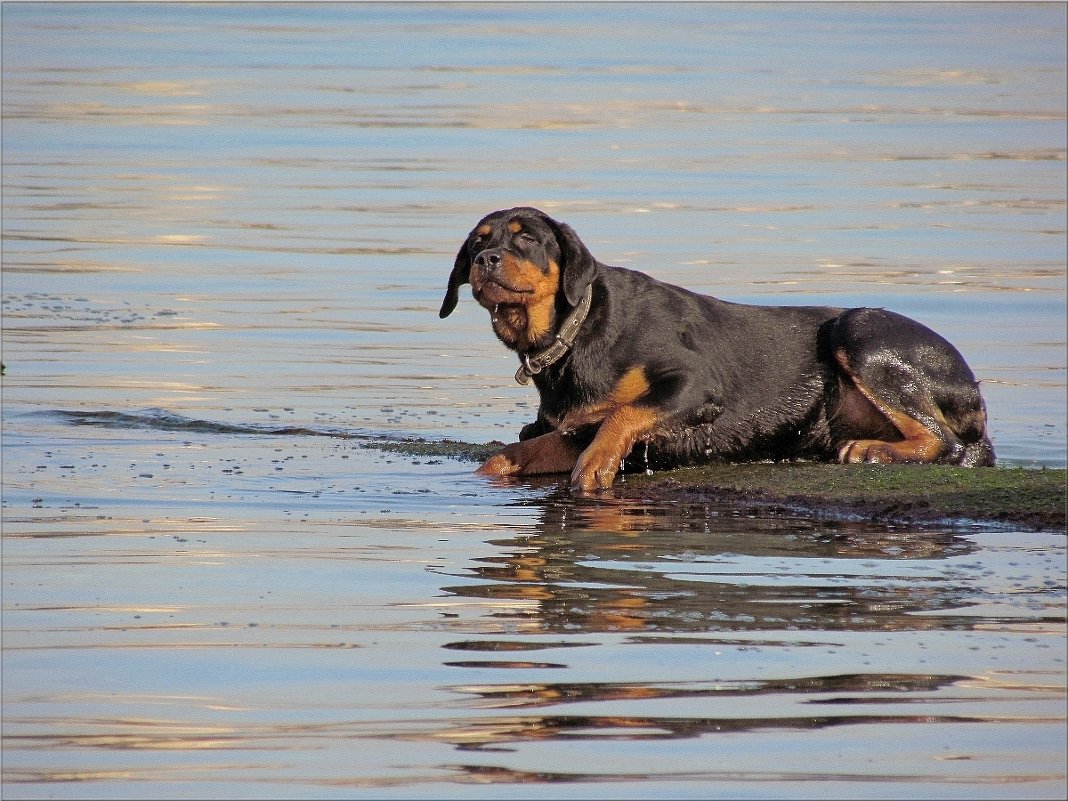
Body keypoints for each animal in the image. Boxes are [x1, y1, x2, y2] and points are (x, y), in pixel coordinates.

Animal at [435, 207, 991, 495]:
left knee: (947, 441)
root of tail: (971, 385)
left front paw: (596, 468)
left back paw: (874, 450)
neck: (575, 334)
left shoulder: (694, 386)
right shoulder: (572, 429)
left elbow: (622, 417)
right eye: (477, 242)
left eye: (527, 239)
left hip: (858, 331)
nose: (486, 259)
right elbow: (506, 458)